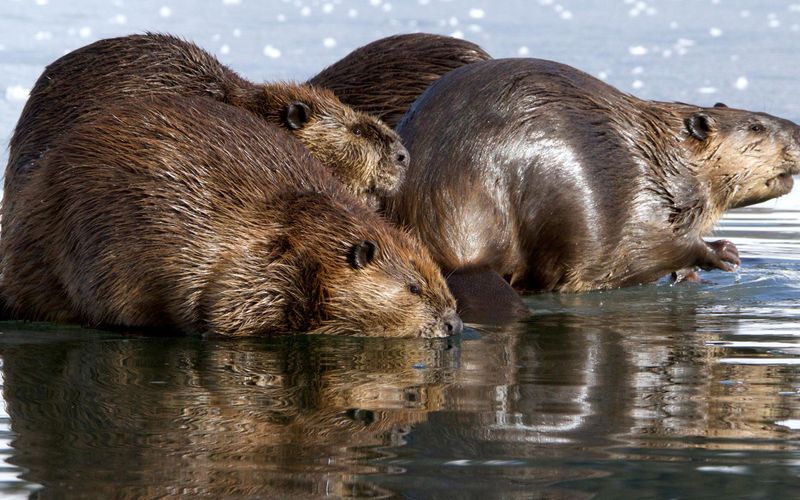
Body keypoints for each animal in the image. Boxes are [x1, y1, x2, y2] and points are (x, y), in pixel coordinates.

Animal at [384, 58, 796, 292]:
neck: (663, 158)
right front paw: (725, 253)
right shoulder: (646, 200)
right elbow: (656, 244)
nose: (798, 131)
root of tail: (464, 261)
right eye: (756, 127)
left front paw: (693, 277)